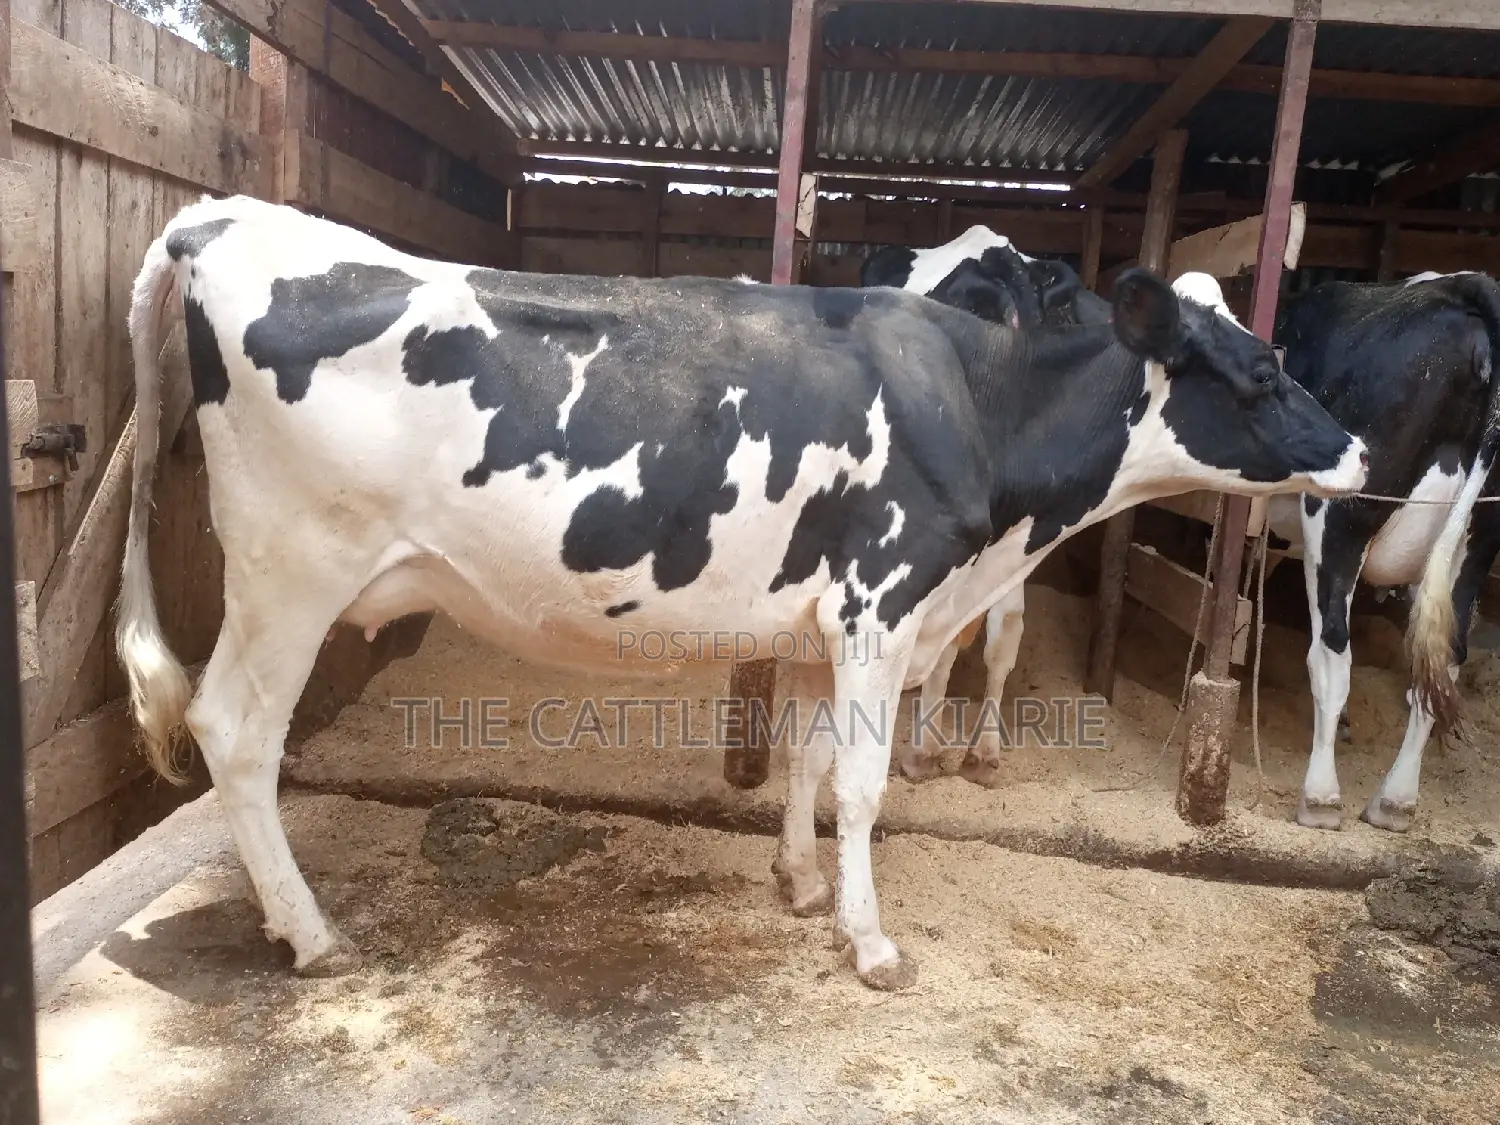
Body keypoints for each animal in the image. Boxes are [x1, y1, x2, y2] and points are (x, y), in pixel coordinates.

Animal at [1258, 269, 1500, 833]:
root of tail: (1468, 285)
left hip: (1339, 517)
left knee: (1332, 652)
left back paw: (1321, 797)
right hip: (1475, 546)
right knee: (1441, 665)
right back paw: (1395, 801)